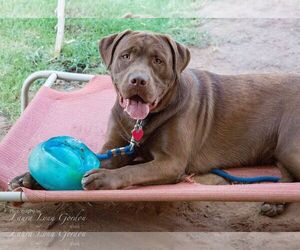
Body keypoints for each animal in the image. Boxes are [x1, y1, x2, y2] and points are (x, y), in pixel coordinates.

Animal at [9, 29, 300, 217]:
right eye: (126, 56)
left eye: (158, 60)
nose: (138, 80)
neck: (140, 122)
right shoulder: (116, 148)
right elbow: (106, 159)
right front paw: (29, 178)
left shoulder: (171, 162)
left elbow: (134, 170)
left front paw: (104, 178)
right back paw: (275, 201)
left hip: (290, 146)